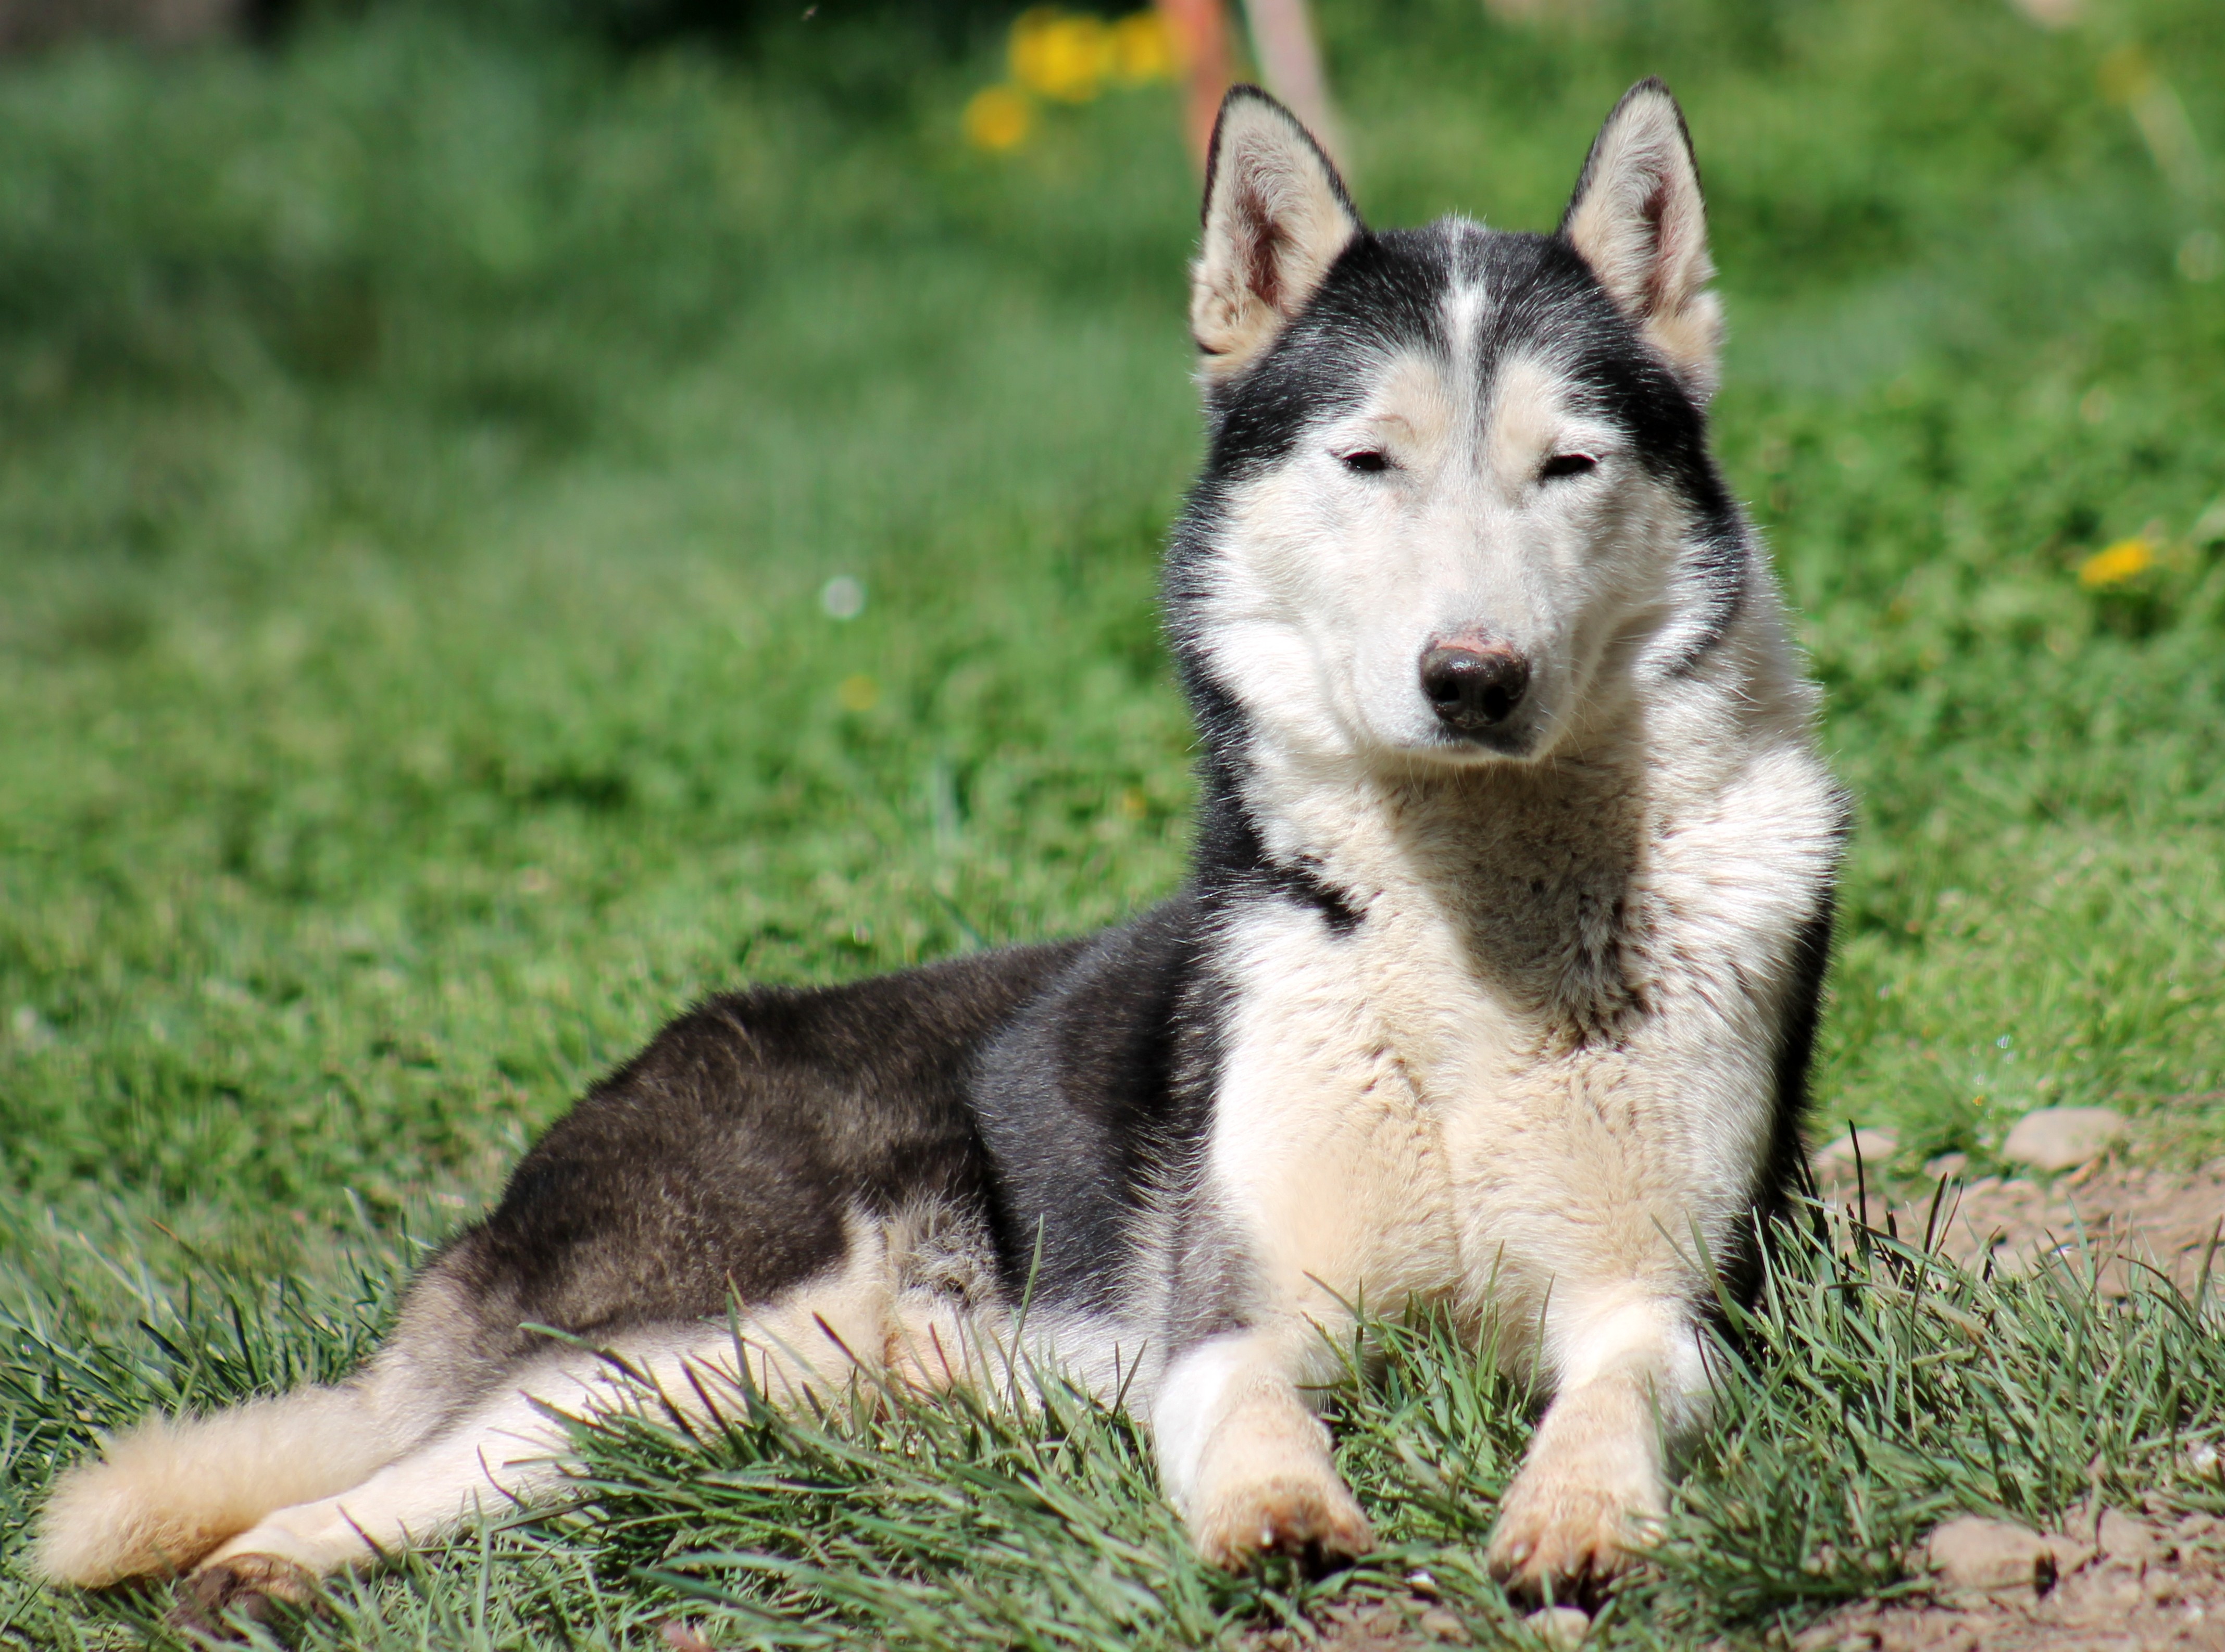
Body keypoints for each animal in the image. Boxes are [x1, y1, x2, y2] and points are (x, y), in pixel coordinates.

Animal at [38, 79, 1845, 1626]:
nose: (1472, 676)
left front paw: (1575, 1515)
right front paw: (1275, 1515)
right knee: (404, 1463)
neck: (1469, 933)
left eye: (1567, 464)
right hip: (695, 1334)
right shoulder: (1226, 1314)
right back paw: (259, 1565)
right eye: (1367, 461)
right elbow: (1252, 1413)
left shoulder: (1666, 1303)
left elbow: (1610, 1398)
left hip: (745, 1387)